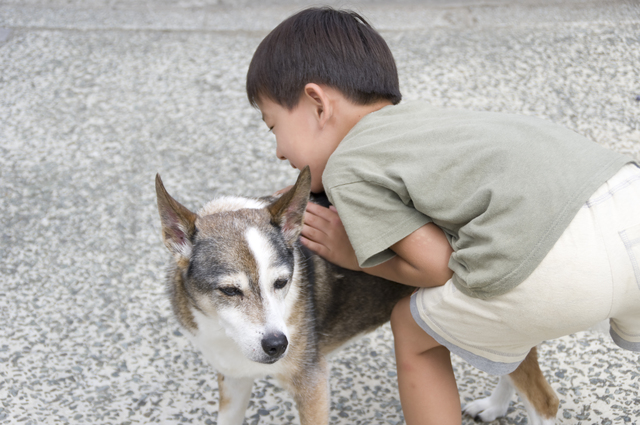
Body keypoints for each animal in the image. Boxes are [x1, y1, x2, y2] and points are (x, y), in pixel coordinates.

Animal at [155, 166, 560, 424]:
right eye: (229, 290)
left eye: (282, 282)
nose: (278, 345)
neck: (222, 332)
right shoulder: (234, 379)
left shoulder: (311, 384)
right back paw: (495, 406)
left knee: (545, 401)